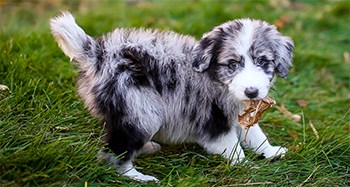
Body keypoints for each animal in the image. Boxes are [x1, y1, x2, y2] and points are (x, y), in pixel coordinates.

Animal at [50, 11, 294, 181]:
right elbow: (232, 148)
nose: (252, 91)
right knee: (113, 152)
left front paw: (271, 151)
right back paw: (136, 176)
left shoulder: (238, 113)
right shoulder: (213, 121)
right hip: (142, 110)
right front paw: (247, 167)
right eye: (233, 64)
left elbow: (256, 135)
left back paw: (147, 148)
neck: (214, 77)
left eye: (262, 61)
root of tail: (98, 54)